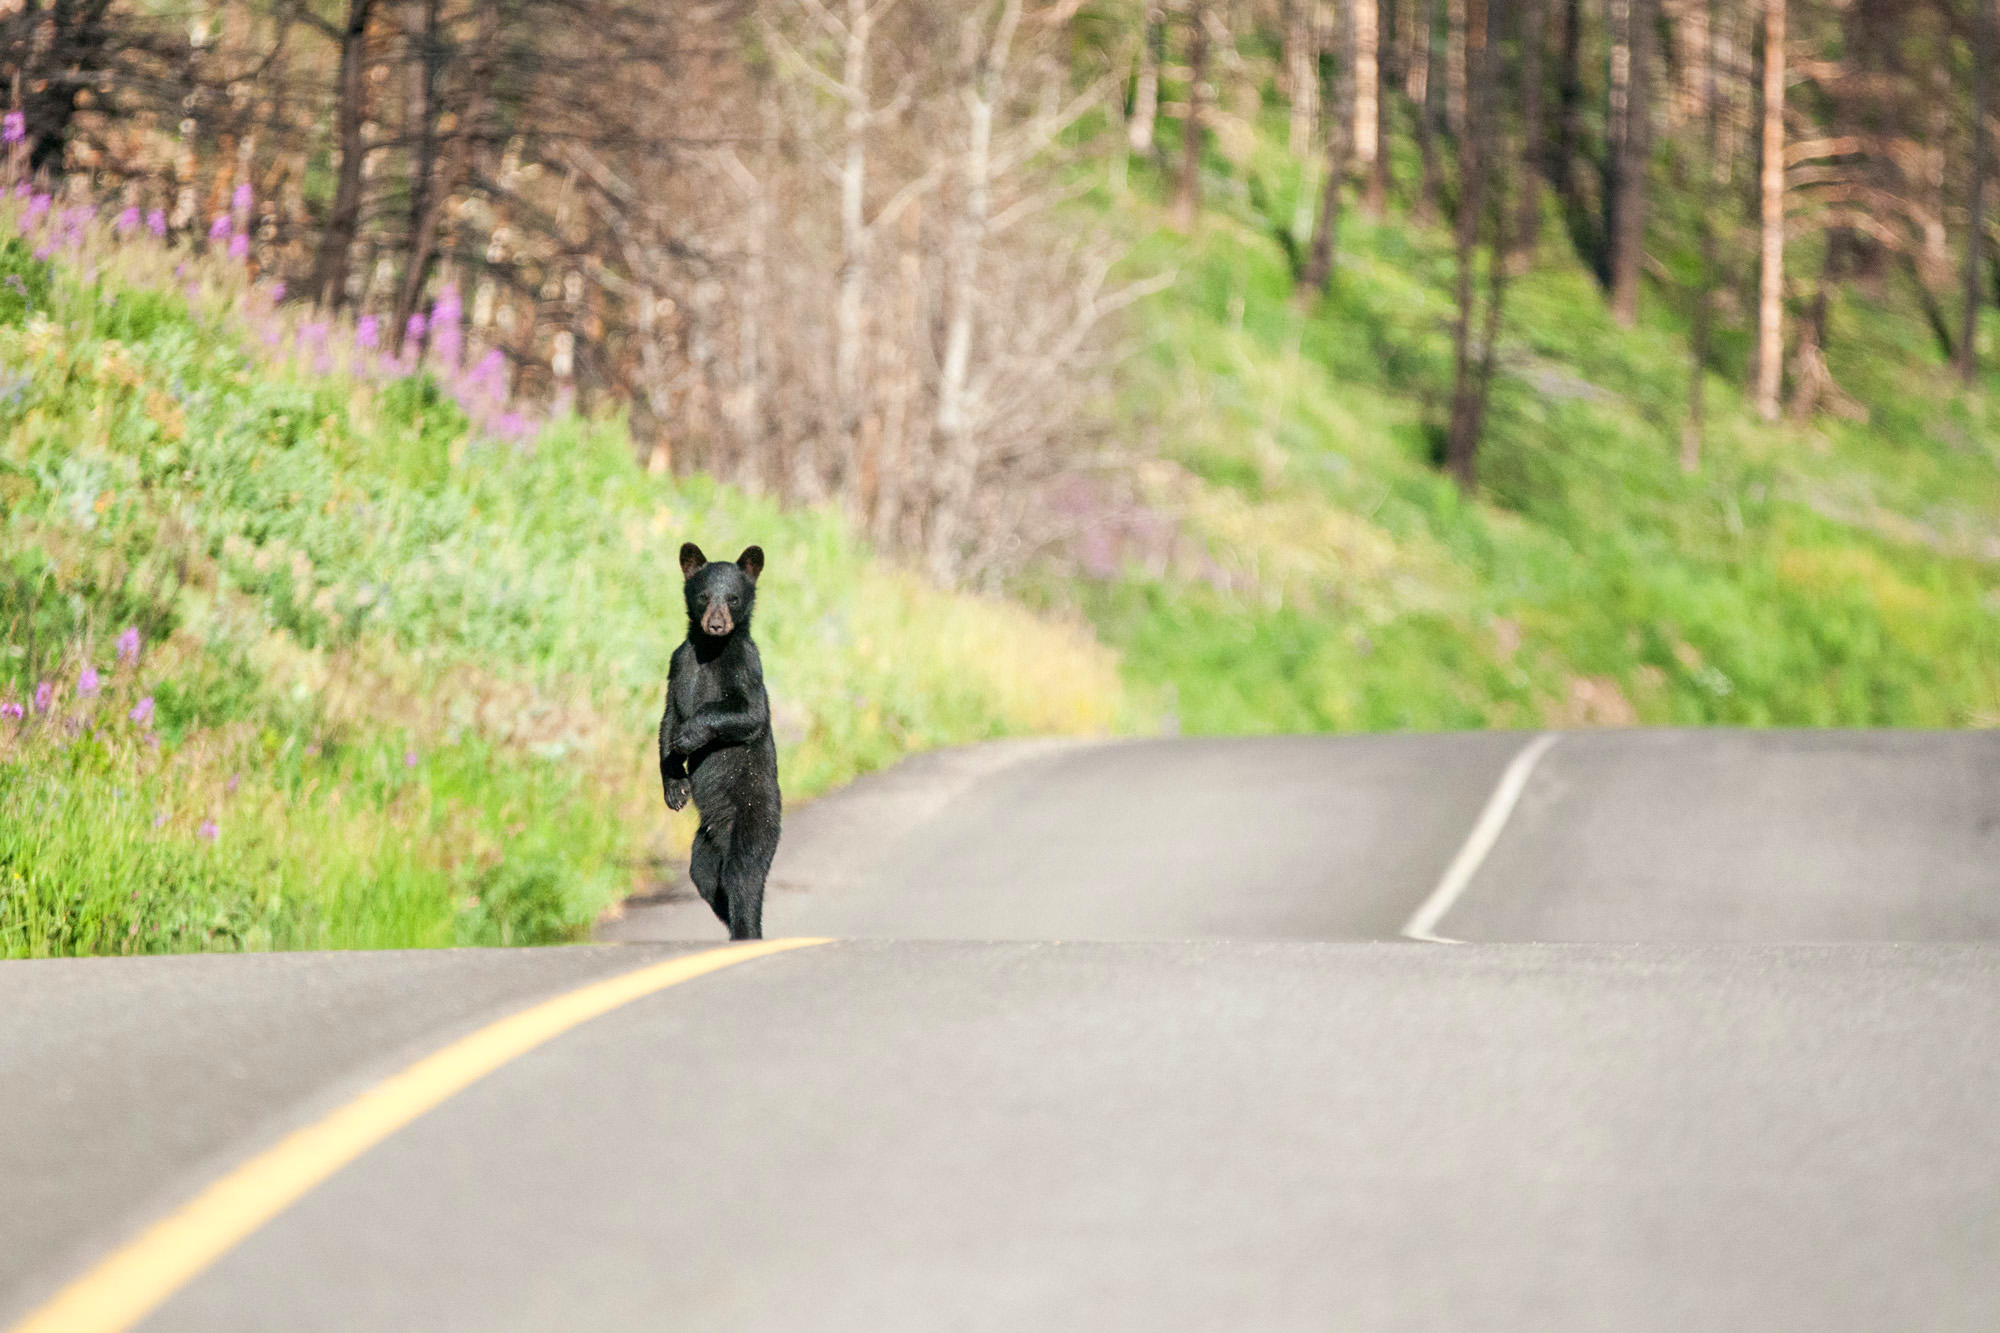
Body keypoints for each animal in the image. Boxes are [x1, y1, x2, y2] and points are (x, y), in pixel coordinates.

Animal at [660, 540, 776, 932]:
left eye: (733, 598)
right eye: (703, 596)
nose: (715, 624)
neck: (711, 651)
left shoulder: (745, 665)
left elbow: (748, 712)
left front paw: (689, 736)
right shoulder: (679, 663)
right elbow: (668, 718)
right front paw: (674, 785)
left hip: (754, 819)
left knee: (743, 876)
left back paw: (746, 928)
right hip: (704, 844)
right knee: (706, 876)